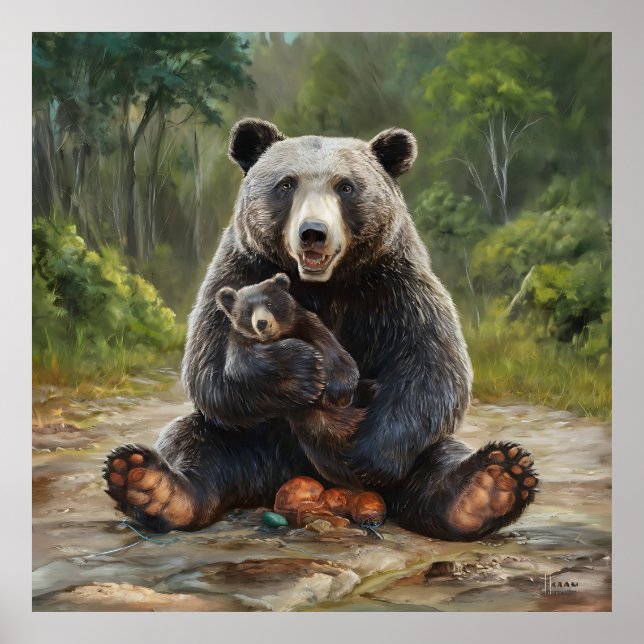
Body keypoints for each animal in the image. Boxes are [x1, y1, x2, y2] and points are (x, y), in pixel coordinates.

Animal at [214, 271, 377, 487]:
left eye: (270, 304)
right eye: (248, 311)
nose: (262, 323)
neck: (280, 336)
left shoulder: (310, 326)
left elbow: (340, 358)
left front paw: (335, 389)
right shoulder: (241, 345)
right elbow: (248, 364)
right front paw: (309, 371)